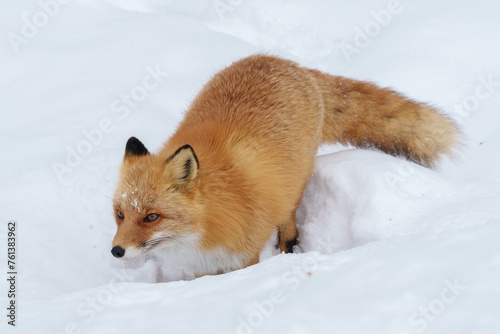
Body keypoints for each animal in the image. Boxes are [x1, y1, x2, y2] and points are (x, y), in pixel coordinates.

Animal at [110, 52, 460, 276]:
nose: (116, 251)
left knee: (289, 217)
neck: (207, 223)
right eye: (120, 214)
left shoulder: (244, 256)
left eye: (151, 217)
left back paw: (287, 247)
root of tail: (292, 64)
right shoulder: (203, 267)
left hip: (296, 183)